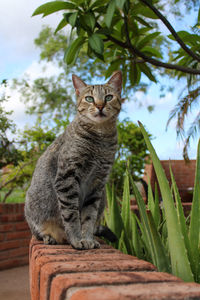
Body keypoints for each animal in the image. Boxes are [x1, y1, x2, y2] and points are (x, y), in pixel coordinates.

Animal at [24, 69, 122, 248]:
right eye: (89, 98)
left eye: (108, 97)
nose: (99, 105)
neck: (101, 138)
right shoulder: (67, 177)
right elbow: (71, 215)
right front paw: (77, 240)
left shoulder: (97, 184)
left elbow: (88, 217)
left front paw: (87, 239)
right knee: (37, 233)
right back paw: (49, 237)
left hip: (104, 196)